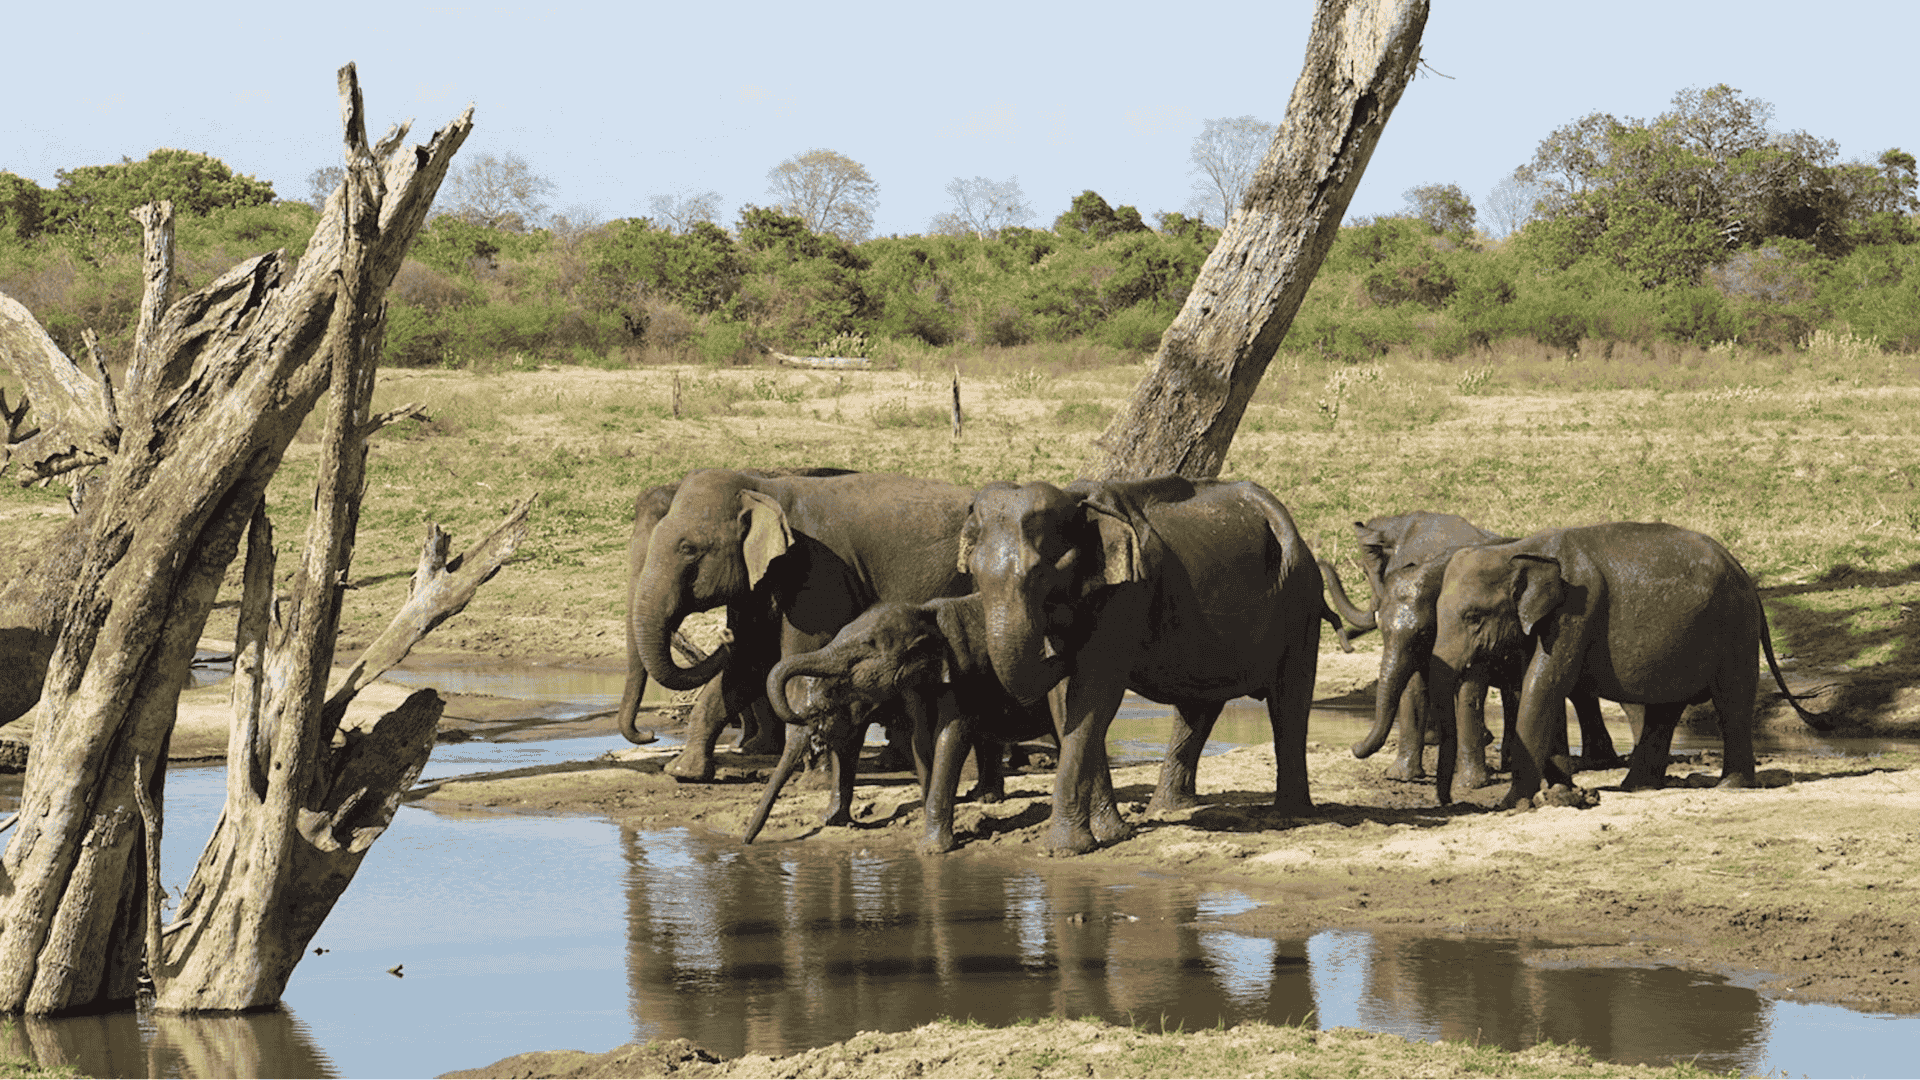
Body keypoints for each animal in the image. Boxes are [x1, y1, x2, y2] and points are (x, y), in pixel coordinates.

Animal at [626, 468, 974, 825]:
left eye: (688, 548)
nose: (650, 735)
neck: (762, 489)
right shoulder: (758, 585)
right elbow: (746, 667)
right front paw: (684, 773)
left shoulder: (818, 575)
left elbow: (795, 667)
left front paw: (813, 783)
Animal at [750, 593, 1055, 854]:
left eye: (867, 646)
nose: (746, 842)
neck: (926, 613)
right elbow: (916, 738)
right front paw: (832, 821)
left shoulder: (964, 673)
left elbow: (952, 734)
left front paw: (932, 849)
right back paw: (983, 798)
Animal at [961, 476, 1324, 855]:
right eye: (974, 574)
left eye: (1041, 575)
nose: (1060, 639)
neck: (1077, 502)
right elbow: (1066, 703)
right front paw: (1113, 834)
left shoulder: (1126, 596)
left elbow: (1095, 692)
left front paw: (1065, 849)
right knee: (1199, 707)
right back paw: (1169, 810)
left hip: (1300, 603)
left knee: (1289, 703)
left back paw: (1290, 815)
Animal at [1322, 511, 1621, 802]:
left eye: (1425, 631)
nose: (1353, 746)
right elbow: (1414, 685)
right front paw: (1400, 777)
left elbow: (1470, 685)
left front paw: (1470, 784)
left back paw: (1594, 762)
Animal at [1425, 521, 1831, 807]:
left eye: (1473, 617)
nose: (1449, 800)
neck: (1521, 548)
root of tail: (1745, 572)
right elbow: (1543, 690)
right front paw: (1563, 794)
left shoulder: (1575, 613)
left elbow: (1543, 688)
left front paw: (1512, 805)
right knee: (1666, 709)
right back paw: (1638, 787)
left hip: (1734, 627)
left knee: (1731, 701)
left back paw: (1729, 787)